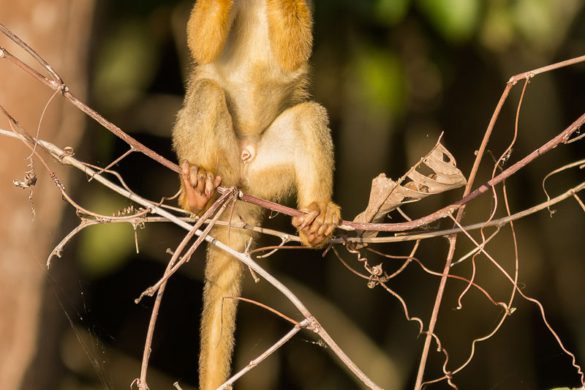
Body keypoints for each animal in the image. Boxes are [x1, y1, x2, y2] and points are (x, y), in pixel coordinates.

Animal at [171, 1, 340, 388]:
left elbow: (295, 52)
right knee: (206, 91)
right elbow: (201, 45)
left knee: (308, 116)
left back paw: (316, 219)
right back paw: (196, 193)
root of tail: (239, 185)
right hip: (221, 159)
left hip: (265, 177)